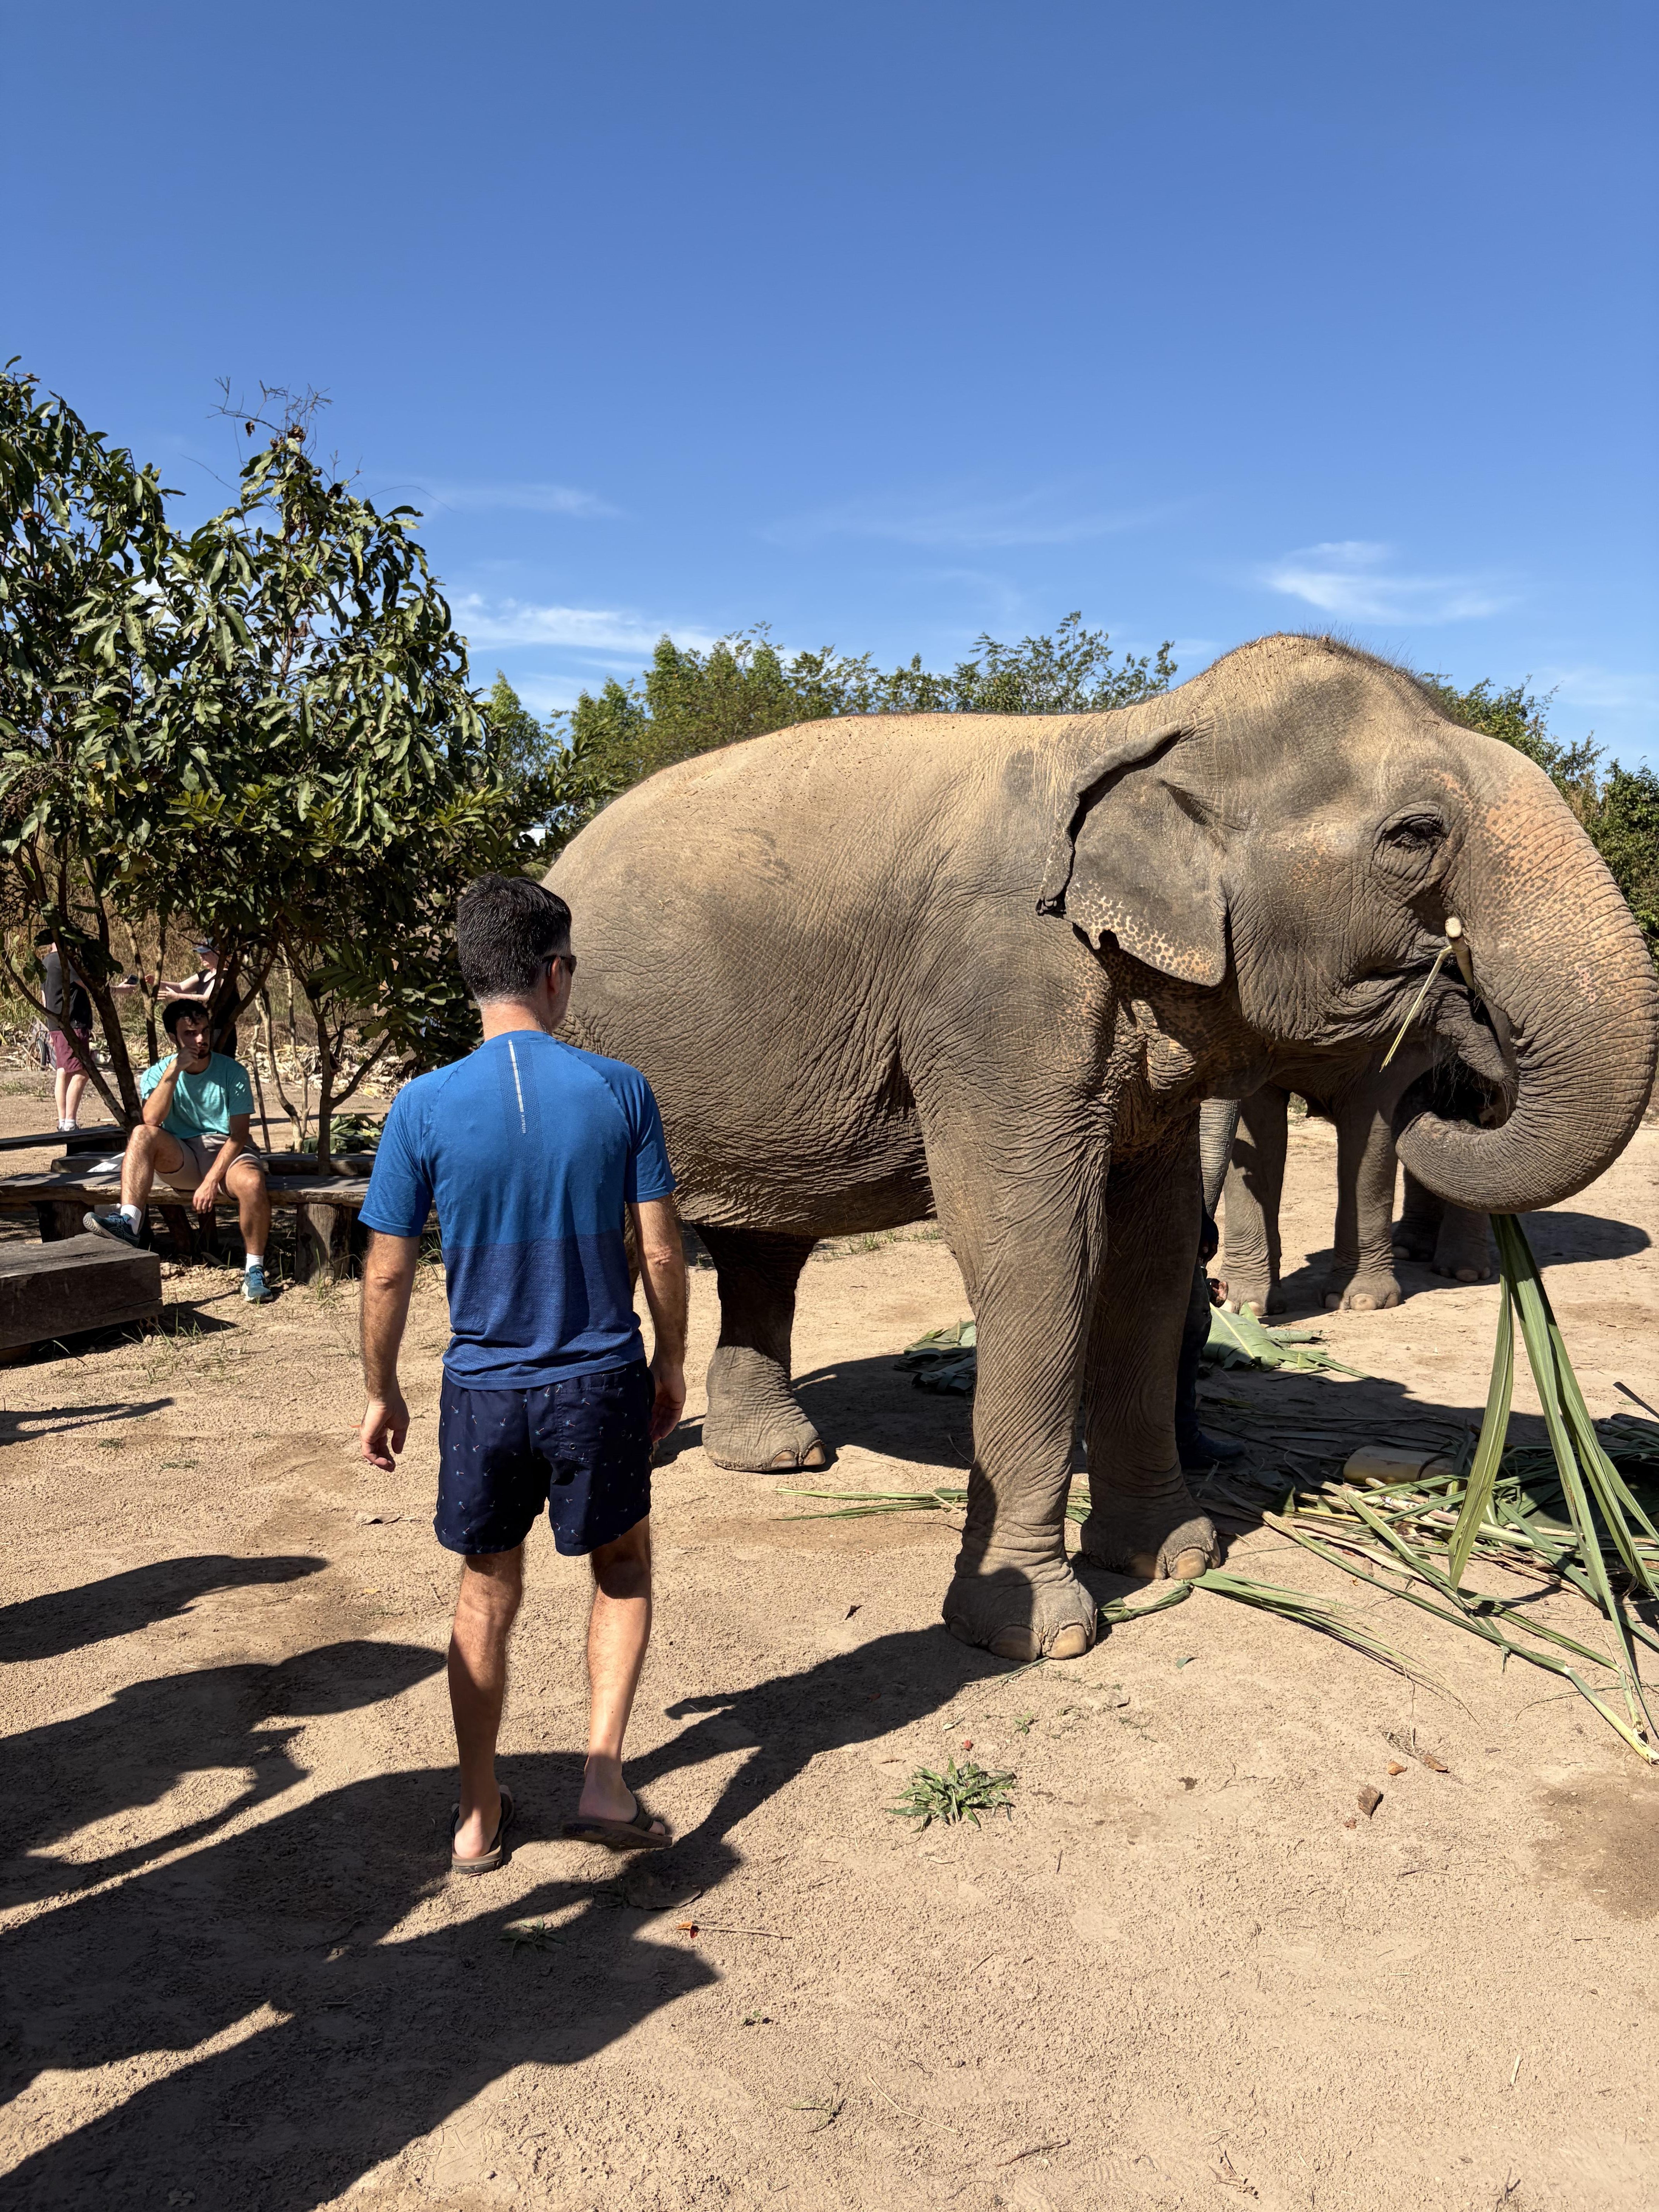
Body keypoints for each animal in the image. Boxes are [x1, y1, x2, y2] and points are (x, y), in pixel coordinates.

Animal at [1212, 1056, 1498, 1318]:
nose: (1215, 1288)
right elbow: (1256, 1122)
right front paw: (1245, 1306)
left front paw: (1363, 1302)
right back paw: (1409, 1251)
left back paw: (1463, 1272)